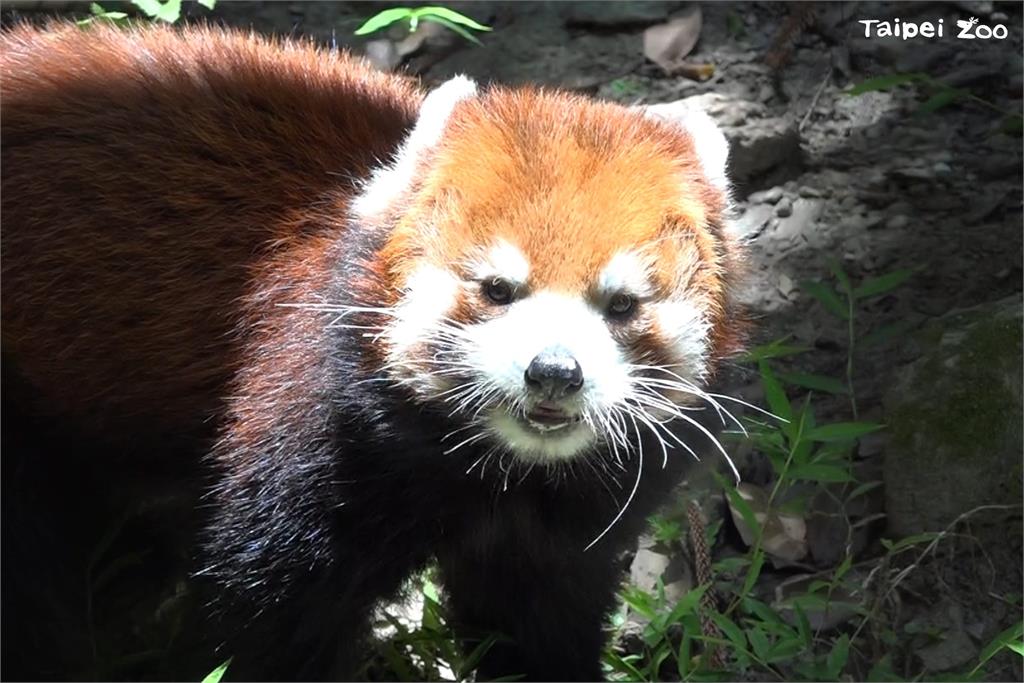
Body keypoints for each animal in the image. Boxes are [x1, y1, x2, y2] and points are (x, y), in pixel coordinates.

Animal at [2, 22, 745, 683]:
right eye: (497, 289)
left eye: (621, 304)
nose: (555, 372)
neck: (496, 473)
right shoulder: (308, 437)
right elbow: (273, 623)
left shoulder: (556, 537)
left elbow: (535, 621)